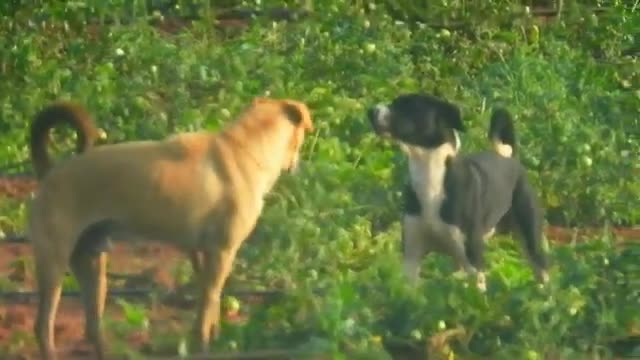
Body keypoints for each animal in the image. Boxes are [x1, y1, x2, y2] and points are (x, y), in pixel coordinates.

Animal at [27, 97, 316, 358]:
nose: (299, 165)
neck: (246, 148)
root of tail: (50, 172)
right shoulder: (222, 251)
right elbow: (207, 308)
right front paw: (204, 346)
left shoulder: (204, 253)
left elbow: (210, 305)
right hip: (53, 262)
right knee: (43, 327)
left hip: (93, 263)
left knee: (92, 327)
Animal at [370, 94, 552, 292]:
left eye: (407, 105)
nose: (371, 111)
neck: (430, 176)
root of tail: (509, 158)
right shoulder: (412, 255)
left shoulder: (474, 259)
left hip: (530, 237)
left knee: (540, 267)